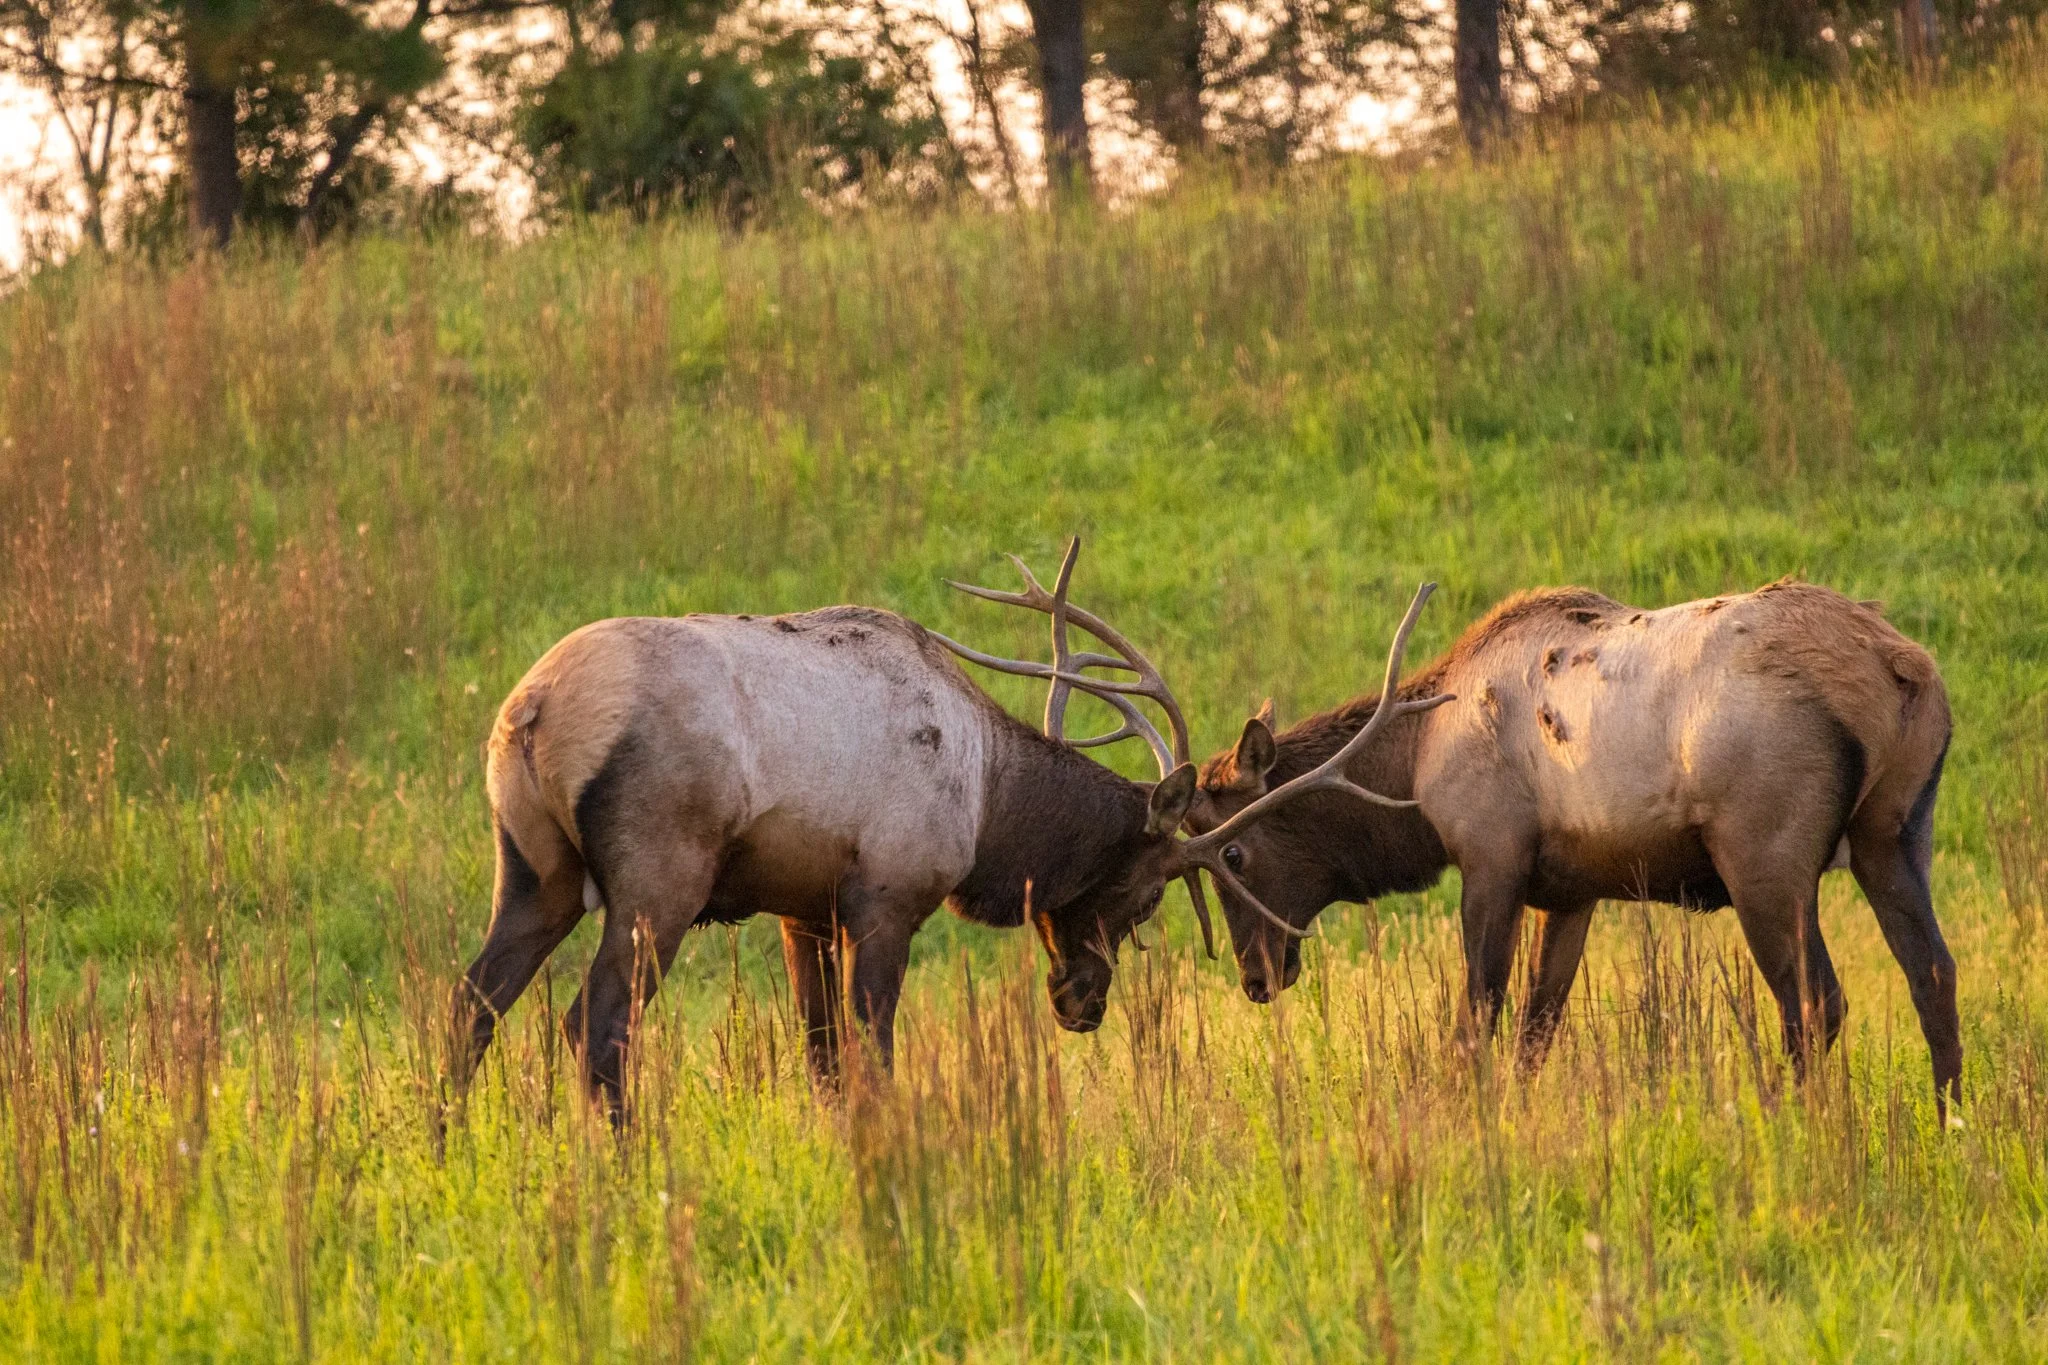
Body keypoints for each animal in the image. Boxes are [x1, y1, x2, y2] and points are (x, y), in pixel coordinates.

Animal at [1183, 579, 1962, 1118]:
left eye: (1233, 856)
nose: (1257, 976)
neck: (1415, 759)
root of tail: (1904, 670)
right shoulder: (1571, 889)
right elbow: (1537, 1027)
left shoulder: (1491, 856)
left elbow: (1475, 1023)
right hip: (1895, 834)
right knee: (1933, 974)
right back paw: (1950, 1126)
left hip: (1765, 854)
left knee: (1816, 1002)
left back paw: (1795, 1122)